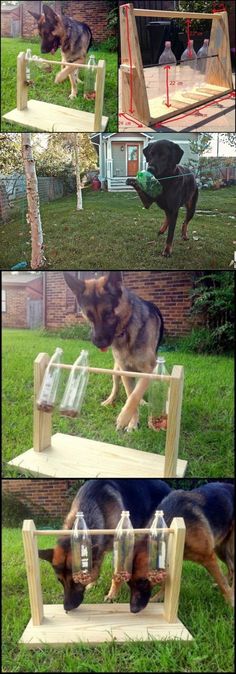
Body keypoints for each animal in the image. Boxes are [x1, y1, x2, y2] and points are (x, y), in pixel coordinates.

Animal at [39, 478, 171, 608]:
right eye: (60, 581)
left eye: (77, 582)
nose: (66, 608)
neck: (91, 504)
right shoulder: (99, 548)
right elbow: (96, 568)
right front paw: (92, 584)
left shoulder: (120, 547)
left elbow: (116, 574)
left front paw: (112, 596)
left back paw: (159, 597)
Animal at [64, 272, 164, 430]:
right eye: (89, 316)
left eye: (108, 314)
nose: (99, 343)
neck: (126, 331)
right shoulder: (125, 371)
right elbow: (130, 394)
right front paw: (132, 422)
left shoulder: (149, 369)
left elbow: (135, 394)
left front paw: (124, 418)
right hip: (116, 371)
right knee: (116, 388)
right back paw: (110, 400)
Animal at [129, 480, 234, 612]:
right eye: (128, 582)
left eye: (143, 582)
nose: (133, 610)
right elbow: (166, 584)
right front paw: (158, 598)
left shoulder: (209, 558)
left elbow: (222, 584)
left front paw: (231, 602)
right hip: (221, 549)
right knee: (231, 568)